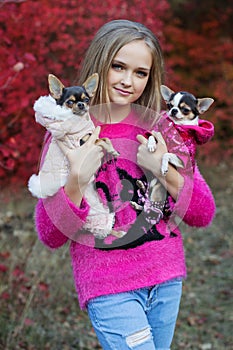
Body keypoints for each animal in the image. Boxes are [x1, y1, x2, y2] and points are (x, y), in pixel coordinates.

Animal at [28, 72, 125, 239]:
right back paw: (118, 233)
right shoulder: (83, 140)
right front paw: (110, 150)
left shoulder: (90, 134)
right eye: (70, 102)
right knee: (105, 230)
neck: (79, 121)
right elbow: (101, 140)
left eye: (86, 99)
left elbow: (105, 138)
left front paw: (112, 150)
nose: (81, 105)